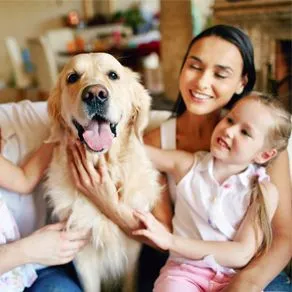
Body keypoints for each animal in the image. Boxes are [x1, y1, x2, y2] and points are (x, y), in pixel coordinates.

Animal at [45, 53, 160, 292]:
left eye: (113, 75)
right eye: (72, 77)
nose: (95, 94)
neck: (104, 164)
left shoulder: (131, 254)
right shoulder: (82, 255)